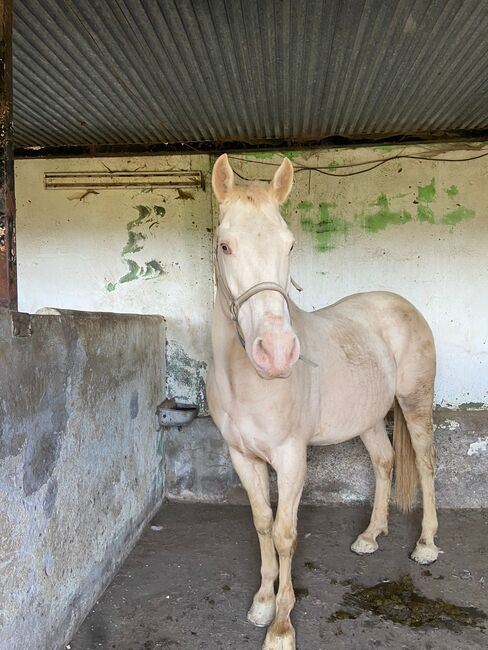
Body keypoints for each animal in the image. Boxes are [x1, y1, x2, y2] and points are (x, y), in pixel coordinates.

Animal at [206, 153, 438, 648]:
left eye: (290, 245)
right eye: (225, 246)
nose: (276, 353)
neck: (246, 379)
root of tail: (401, 304)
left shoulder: (292, 458)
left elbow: (285, 533)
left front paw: (281, 627)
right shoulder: (242, 456)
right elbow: (261, 523)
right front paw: (261, 603)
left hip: (415, 402)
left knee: (426, 463)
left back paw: (426, 545)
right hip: (368, 418)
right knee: (385, 461)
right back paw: (370, 535)